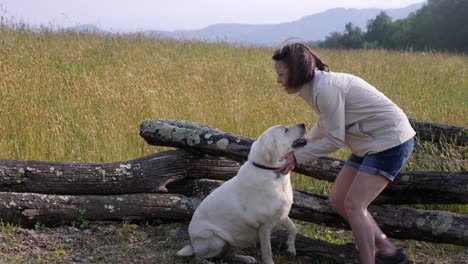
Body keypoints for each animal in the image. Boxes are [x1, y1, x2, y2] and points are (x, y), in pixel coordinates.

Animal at [176, 124, 308, 264]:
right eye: (285, 130)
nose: (303, 124)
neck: (270, 171)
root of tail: (192, 243)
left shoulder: (283, 214)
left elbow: (293, 228)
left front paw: (291, 248)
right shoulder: (264, 226)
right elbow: (267, 252)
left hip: (237, 241)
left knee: (226, 255)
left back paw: (246, 258)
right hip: (216, 240)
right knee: (197, 255)